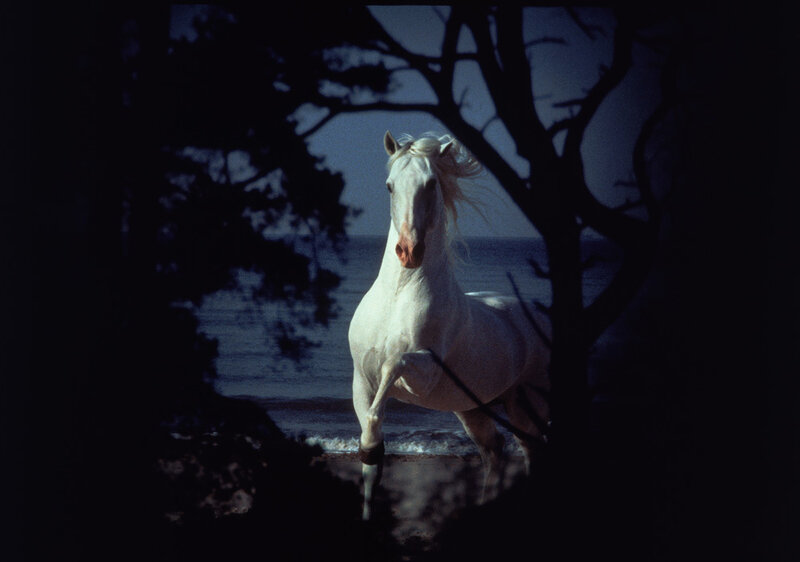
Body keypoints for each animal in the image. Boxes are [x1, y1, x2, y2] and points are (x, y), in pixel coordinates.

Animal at [348, 131, 551, 521]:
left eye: (430, 184)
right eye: (389, 186)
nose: (408, 252)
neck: (397, 297)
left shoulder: (424, 374)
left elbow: (393, 364)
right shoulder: (362, 381)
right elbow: (370, 455)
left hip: (527, 403)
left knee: (534, 450)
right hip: (475, 410)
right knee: (497, 449)